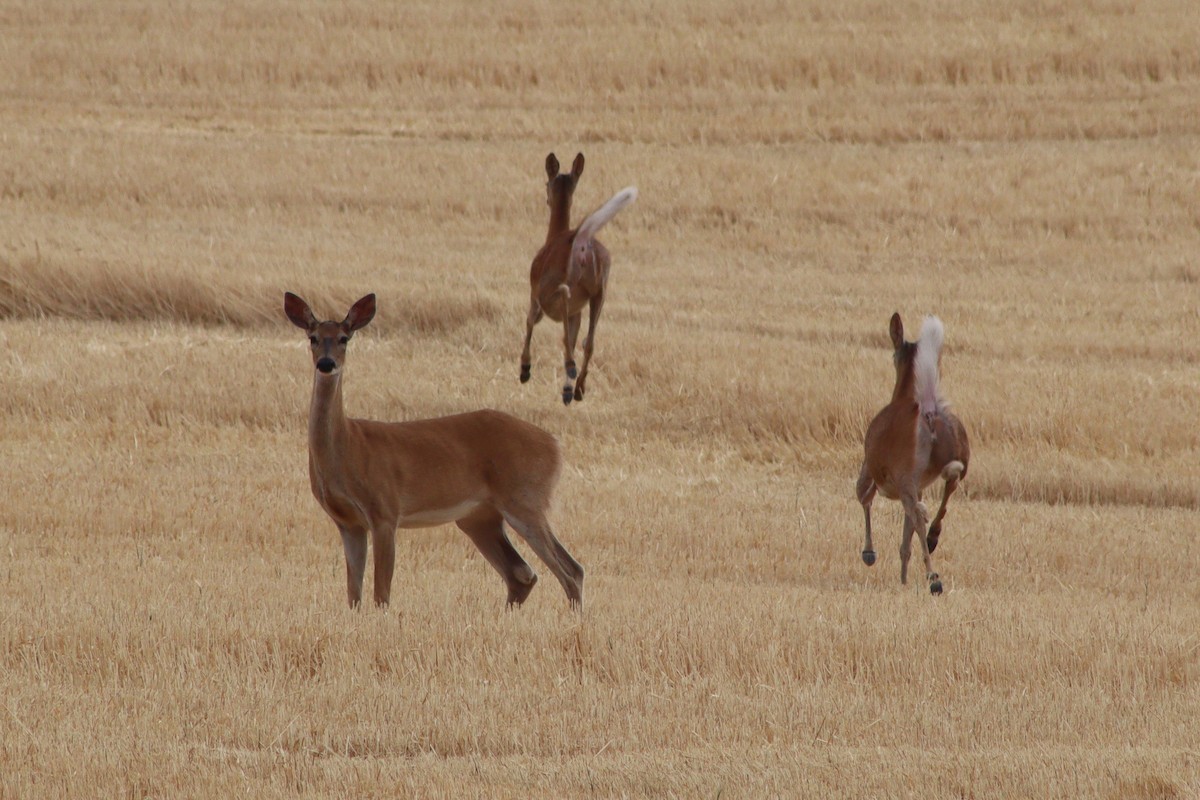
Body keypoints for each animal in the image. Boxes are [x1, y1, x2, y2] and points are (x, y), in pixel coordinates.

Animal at [284, 292, 584, 610]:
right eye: (313, 338)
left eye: (344, 338)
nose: (326, 363)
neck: (347, 446)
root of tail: (555, 445)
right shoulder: (347, 522)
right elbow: (354, 593)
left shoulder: (385, 509)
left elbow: (381, 593)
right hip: (479, 518)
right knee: (522, 573)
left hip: (525, 498)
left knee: (570, 569)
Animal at [519, 152, 637, 405]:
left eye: (546, 184)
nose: (546, 199)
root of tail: (581, 239)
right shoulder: (576, 313)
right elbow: (574, 337)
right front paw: (566, 386)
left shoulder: (535, 295)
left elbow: (530, 322)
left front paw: (525, 368)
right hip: (600, 290)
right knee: (589, 341)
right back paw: (578, 388)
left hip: (555, 287)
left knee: (563, 297)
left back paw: (570, 370)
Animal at [855, 313, 970, 595]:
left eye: (893, 355)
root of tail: (928, 412)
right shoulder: (916, 486)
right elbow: (904, 543)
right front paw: (903, 579)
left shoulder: (871, 470)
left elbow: (864, 498)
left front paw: (869, 553)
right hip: (957, 455)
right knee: (951, 484)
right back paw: (933, 538)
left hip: (905, 475)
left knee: (918, 515)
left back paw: (934, 577)